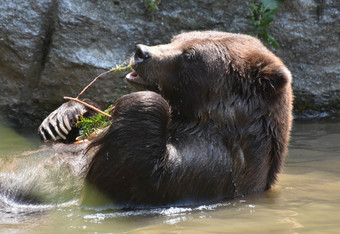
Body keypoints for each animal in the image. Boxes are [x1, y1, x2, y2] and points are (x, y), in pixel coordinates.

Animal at [37, 30, 292, 207]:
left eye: (191, 55)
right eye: (176, 38)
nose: (141, 52)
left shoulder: (211, 168)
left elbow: (132, 180)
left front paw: (144, 100)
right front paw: (63, 118)